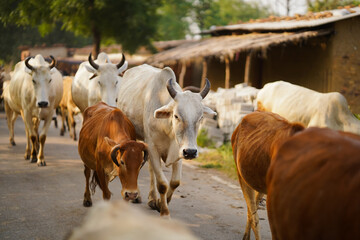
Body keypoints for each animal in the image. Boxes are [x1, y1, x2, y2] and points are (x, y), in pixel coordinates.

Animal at [116, 64, 215, 217]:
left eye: (200, 118)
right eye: (176, 116)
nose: (191, 152)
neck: (167, 129)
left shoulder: (179, 150)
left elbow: (175, 182)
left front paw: (161, 203)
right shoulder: (152, 147)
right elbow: (162, 184)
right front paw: (164, 212)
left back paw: (152, 199)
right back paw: (138, 197)